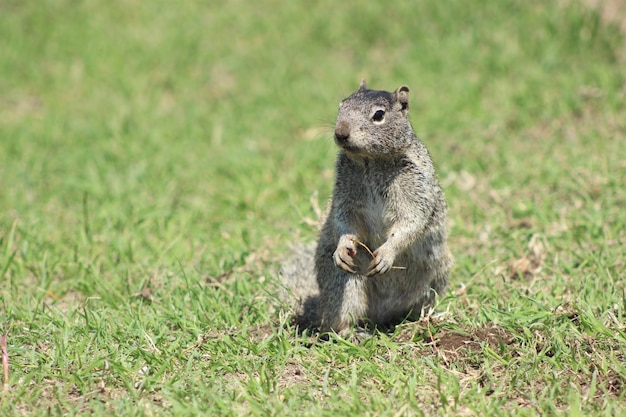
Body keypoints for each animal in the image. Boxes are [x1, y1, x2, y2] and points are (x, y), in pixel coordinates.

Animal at [280, 81, 450, 334]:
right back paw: (353, 332)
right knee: (336, 322)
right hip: (344, 285)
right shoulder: (345, 195)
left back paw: (424, 320)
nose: (340, 132)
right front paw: (342, 247)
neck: (370, 161)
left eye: (379, 115)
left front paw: (387, 254)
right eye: (341, 105)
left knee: (419, 306)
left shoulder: (415, 189)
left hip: (436, 278)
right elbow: (344, 220)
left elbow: (411, 221)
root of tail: (381, 316)